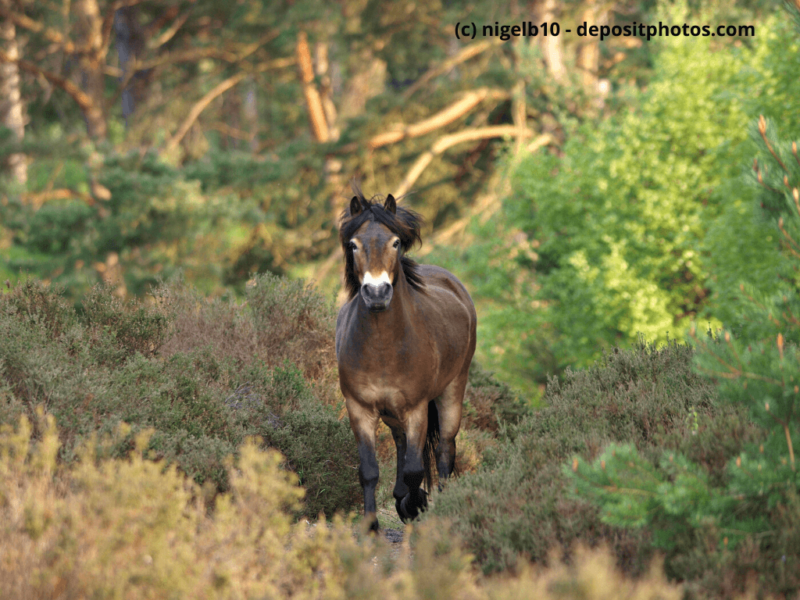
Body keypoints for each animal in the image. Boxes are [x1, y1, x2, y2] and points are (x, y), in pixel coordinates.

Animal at [335, 184, 477, 531]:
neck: (383, 348)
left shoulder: (416, 409)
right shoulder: (359, 409)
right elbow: (369, 470)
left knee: (444, 450)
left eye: (395, 242)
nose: (376, 293)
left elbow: (415, 469)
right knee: (401, 443)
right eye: (354, 244)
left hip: (452, 390)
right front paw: (372, 525)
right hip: (391, 412)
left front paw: (415, 505)